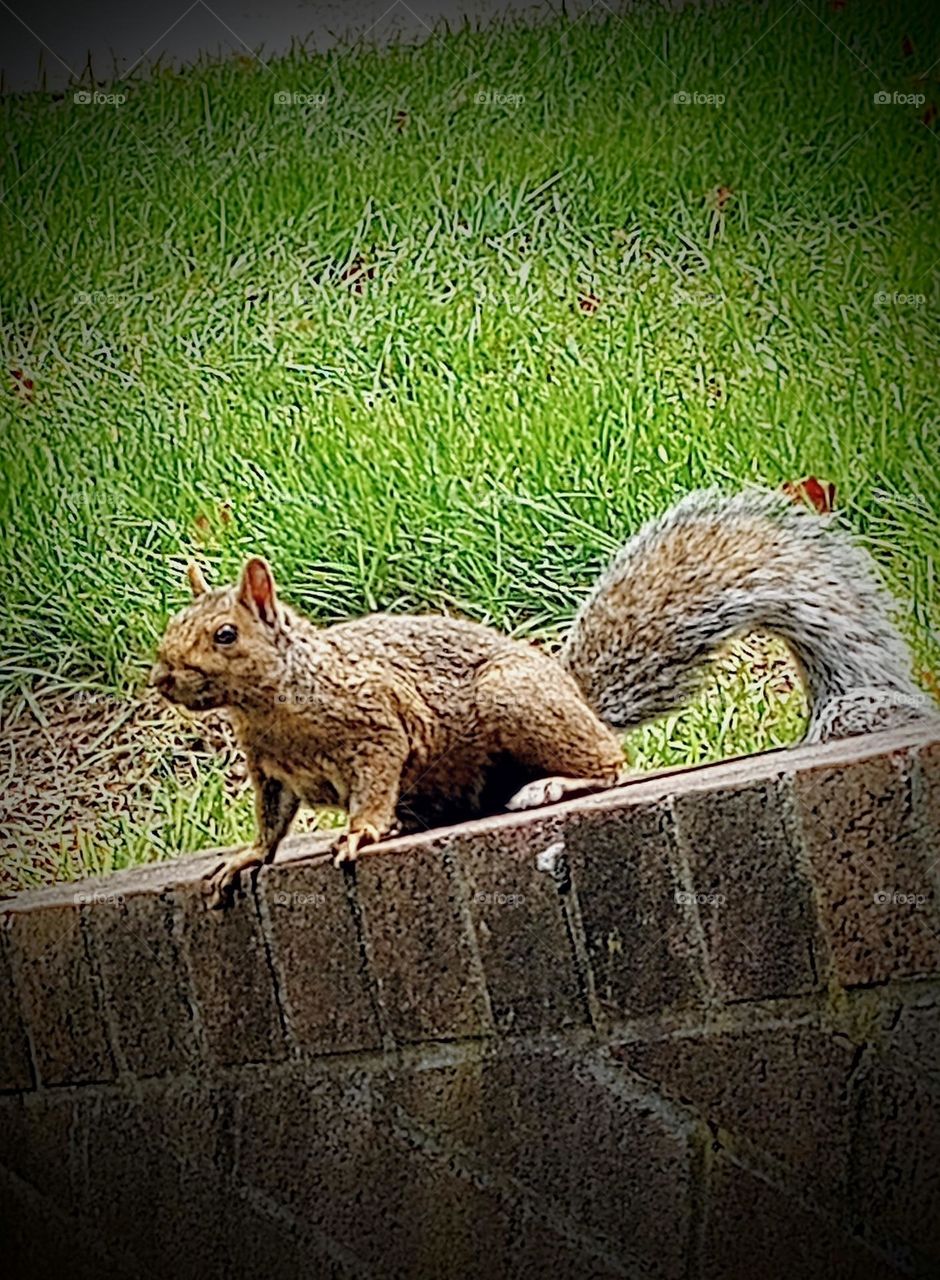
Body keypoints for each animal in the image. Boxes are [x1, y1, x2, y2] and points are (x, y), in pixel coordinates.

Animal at [151, 483, 937, 906]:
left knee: (610, 762)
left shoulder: (374, 723)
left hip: (515, 703)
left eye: (224, 634)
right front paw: (246, 860)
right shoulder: (269, 770)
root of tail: (575, 695)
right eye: (170, 627)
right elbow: (269, 822)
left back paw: (550, 785)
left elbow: (373, 777)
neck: (271, 706)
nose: (161, 677)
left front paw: (364, 830)